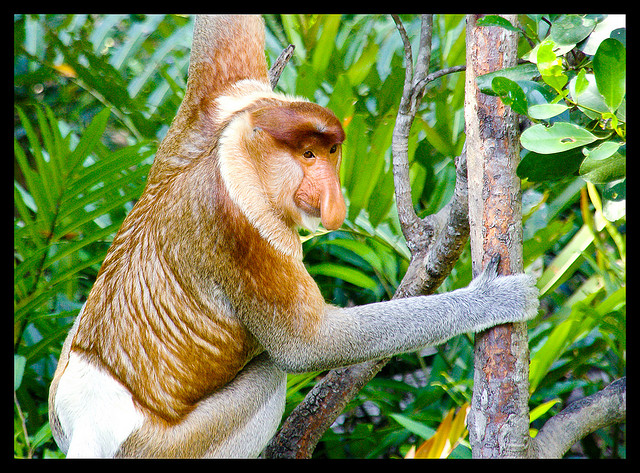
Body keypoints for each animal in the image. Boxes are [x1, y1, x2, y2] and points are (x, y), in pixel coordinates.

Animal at [48, 14, 540, 458]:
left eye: (331, 151)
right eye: (307, 155)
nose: (331, 198)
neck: (239, 154)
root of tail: (89, 425)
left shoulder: (219, 103)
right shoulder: (248, 229)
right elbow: (307, 346)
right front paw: (495, 299)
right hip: (161, 447)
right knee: (271, 370)